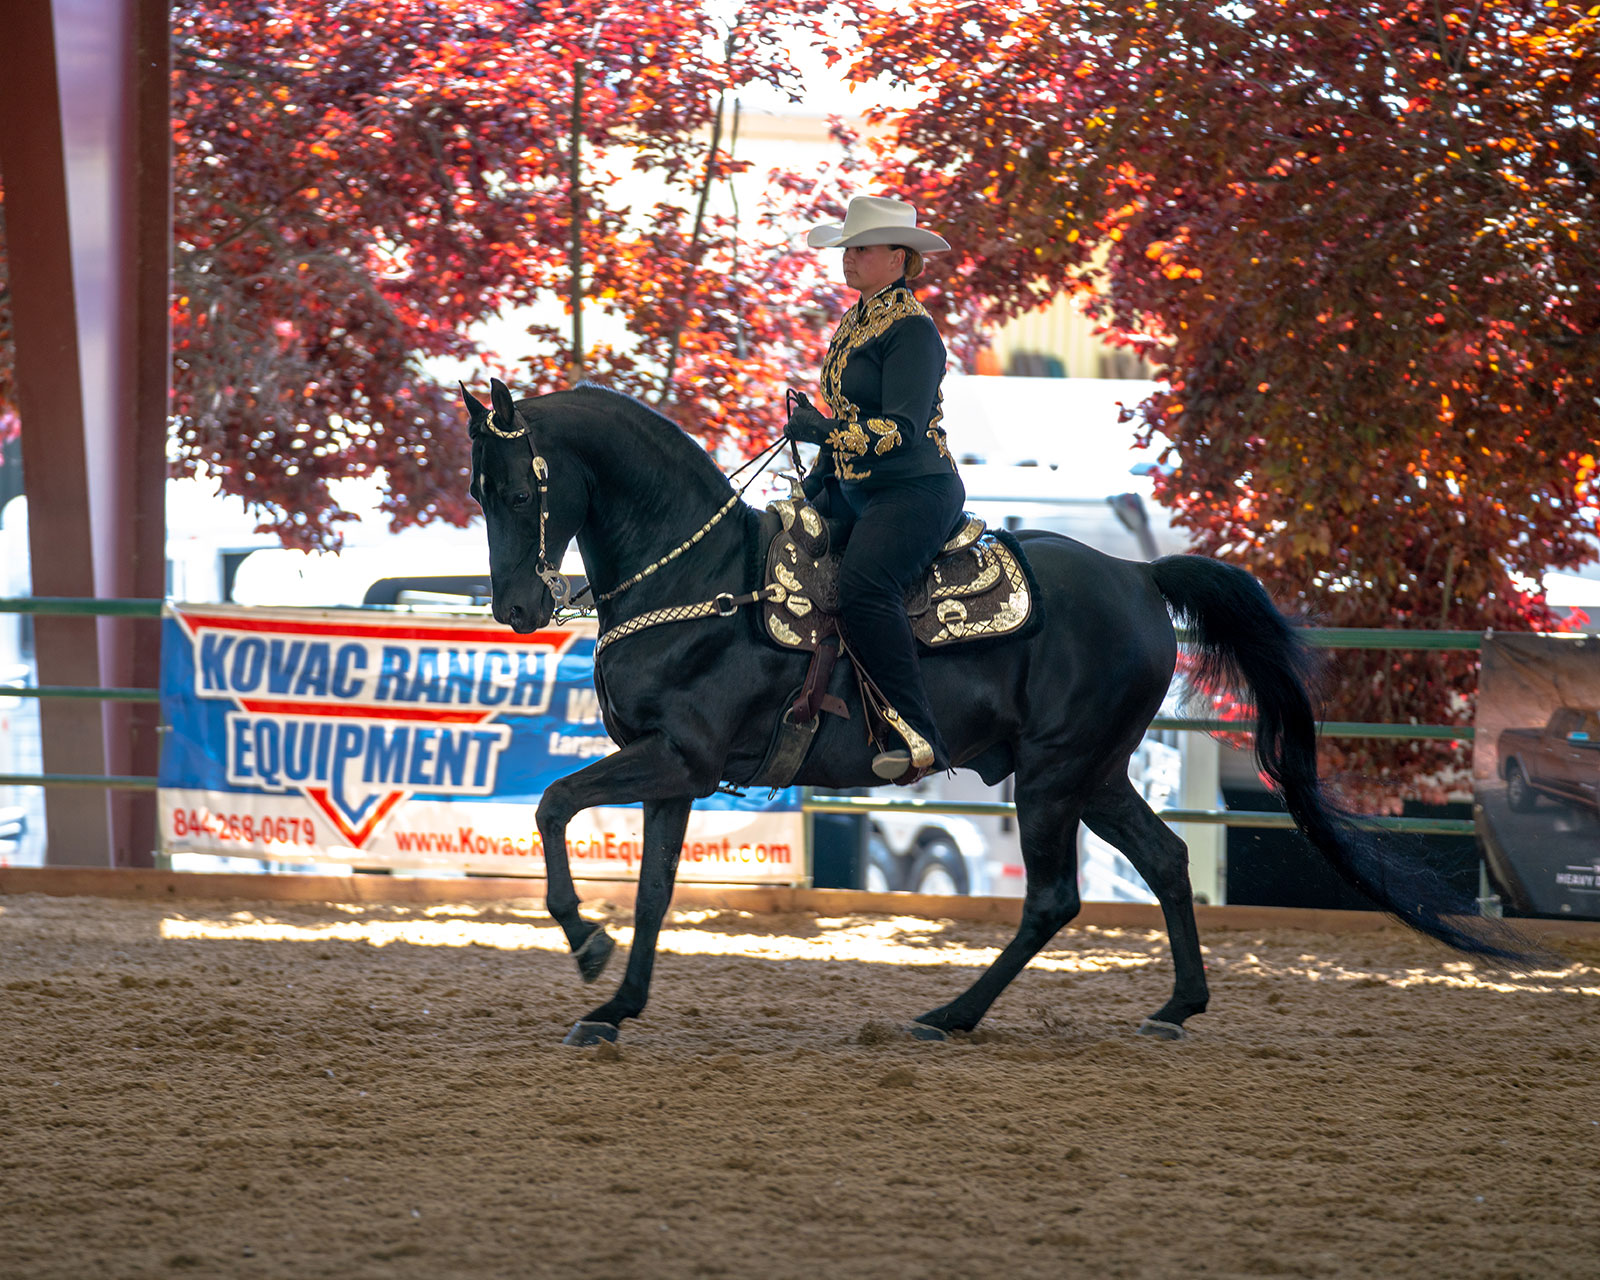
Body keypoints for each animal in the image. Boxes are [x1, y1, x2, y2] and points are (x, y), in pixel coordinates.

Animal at [460, 374, 1510, 1043]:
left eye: (515, 488)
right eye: (477, 490)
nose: (517, 608)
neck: (706, 580)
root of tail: (1138, 575)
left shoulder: (679, 759)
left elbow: (552, 806)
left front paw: (585, 947)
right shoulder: (674, 773)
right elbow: (653, 891)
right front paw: (614, 1007)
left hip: (1052, 776)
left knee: (1053, 898)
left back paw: (951, 1015)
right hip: (1095, 774)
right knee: (1167, 860)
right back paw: (1175, 1009)